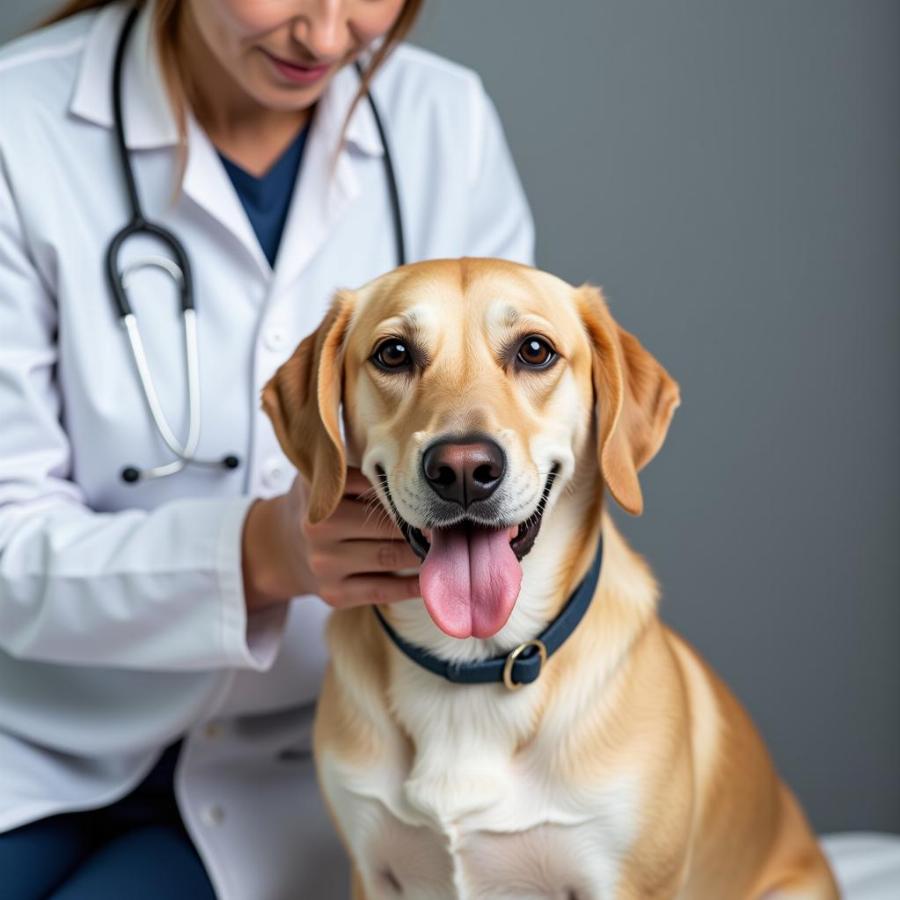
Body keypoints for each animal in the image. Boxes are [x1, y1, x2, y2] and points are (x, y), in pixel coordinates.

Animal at [260, 258, 836, 900]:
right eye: (394, 353)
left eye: (534, 351)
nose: (464, 470)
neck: (472, 669)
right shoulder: (371, 871)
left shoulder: (627, 882)